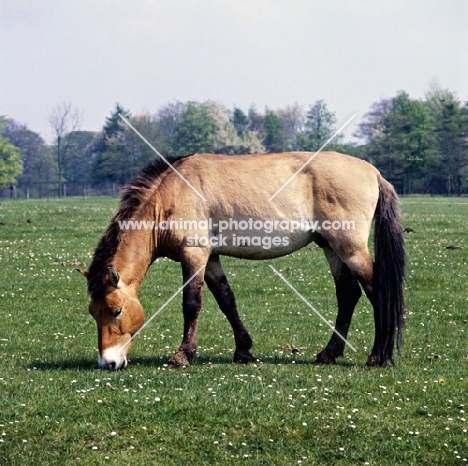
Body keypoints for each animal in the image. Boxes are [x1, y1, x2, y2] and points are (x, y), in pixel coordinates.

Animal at [77, 153, 406, 372]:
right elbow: (227, 301)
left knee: (376, 291)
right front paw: (243, 350)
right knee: (348, 295)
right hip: (331, 247)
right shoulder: (211, 259)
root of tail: (373, 173)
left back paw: (378, 357)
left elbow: (191, 305)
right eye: (93, 312)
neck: (170, 194)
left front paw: (182, 355)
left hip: (349, 248)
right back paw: (329, 353)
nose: (107, 362)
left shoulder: (194, 255)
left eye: (116, 311)